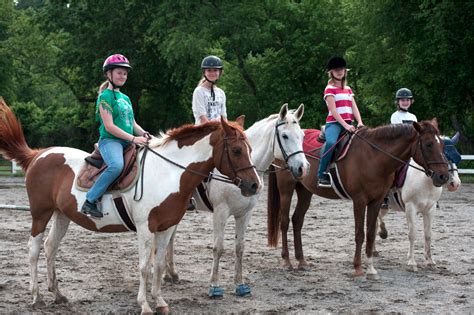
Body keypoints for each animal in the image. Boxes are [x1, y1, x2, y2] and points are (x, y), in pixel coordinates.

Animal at [0, 97, 260, 314]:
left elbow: (158, 265)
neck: (168, 171)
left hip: (62, 215)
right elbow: (144, 266)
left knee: (50, 247)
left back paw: (58, 295)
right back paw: (36, 297)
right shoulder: (146, 228)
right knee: (33, 249)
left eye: (250, 149)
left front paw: (160, 302)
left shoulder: (166, 228)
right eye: (237, 150)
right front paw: (144, 305)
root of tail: (38, 155)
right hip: (40, 214)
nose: (255, 185)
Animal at [268, 120, 450, 282]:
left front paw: (371, 269)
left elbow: (370, 233)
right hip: (286, 189)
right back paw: (287, 261)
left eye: (442, 145)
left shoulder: (376, 201)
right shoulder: (360, 200)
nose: (444, 176)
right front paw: (357, 268)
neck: (374, 157)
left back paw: (301, 261)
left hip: (305, 191)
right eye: (428, 144)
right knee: (284, 222)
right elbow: (359, 234)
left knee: (297, 220)